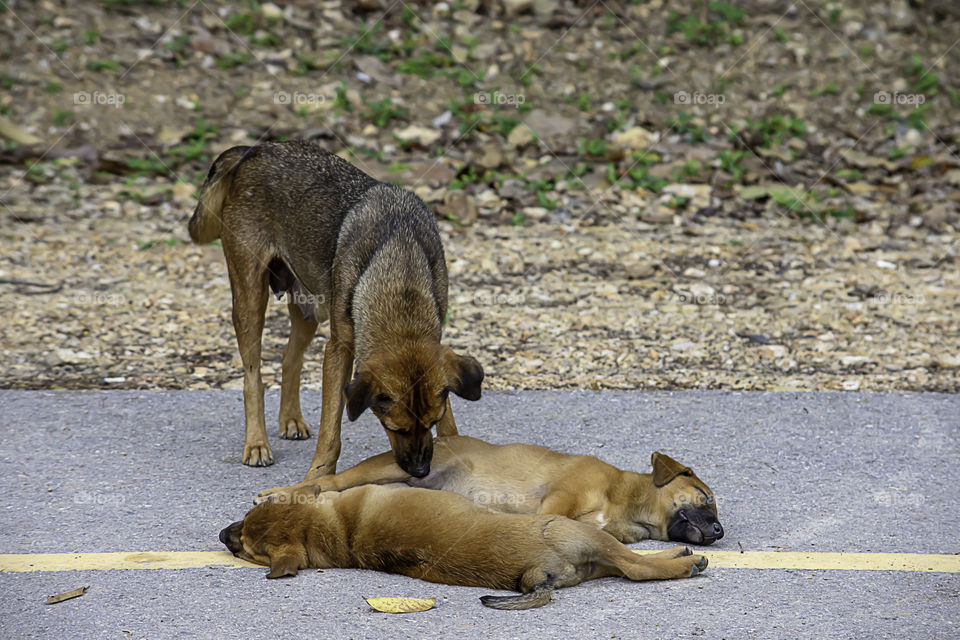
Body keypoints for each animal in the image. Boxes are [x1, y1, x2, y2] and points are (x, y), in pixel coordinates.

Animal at [188, 141, 484, 480]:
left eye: (431, 423)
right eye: (394, 428)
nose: (421, 471)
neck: (400, 271)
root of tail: (254, 149)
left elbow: (449, 419)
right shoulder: (338, 350)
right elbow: (330, 431)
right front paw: (318, 475)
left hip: (309, 310)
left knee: (290, 358)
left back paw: (290, 419)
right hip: (250, 300)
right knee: (254, 378)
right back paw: (257, 444)